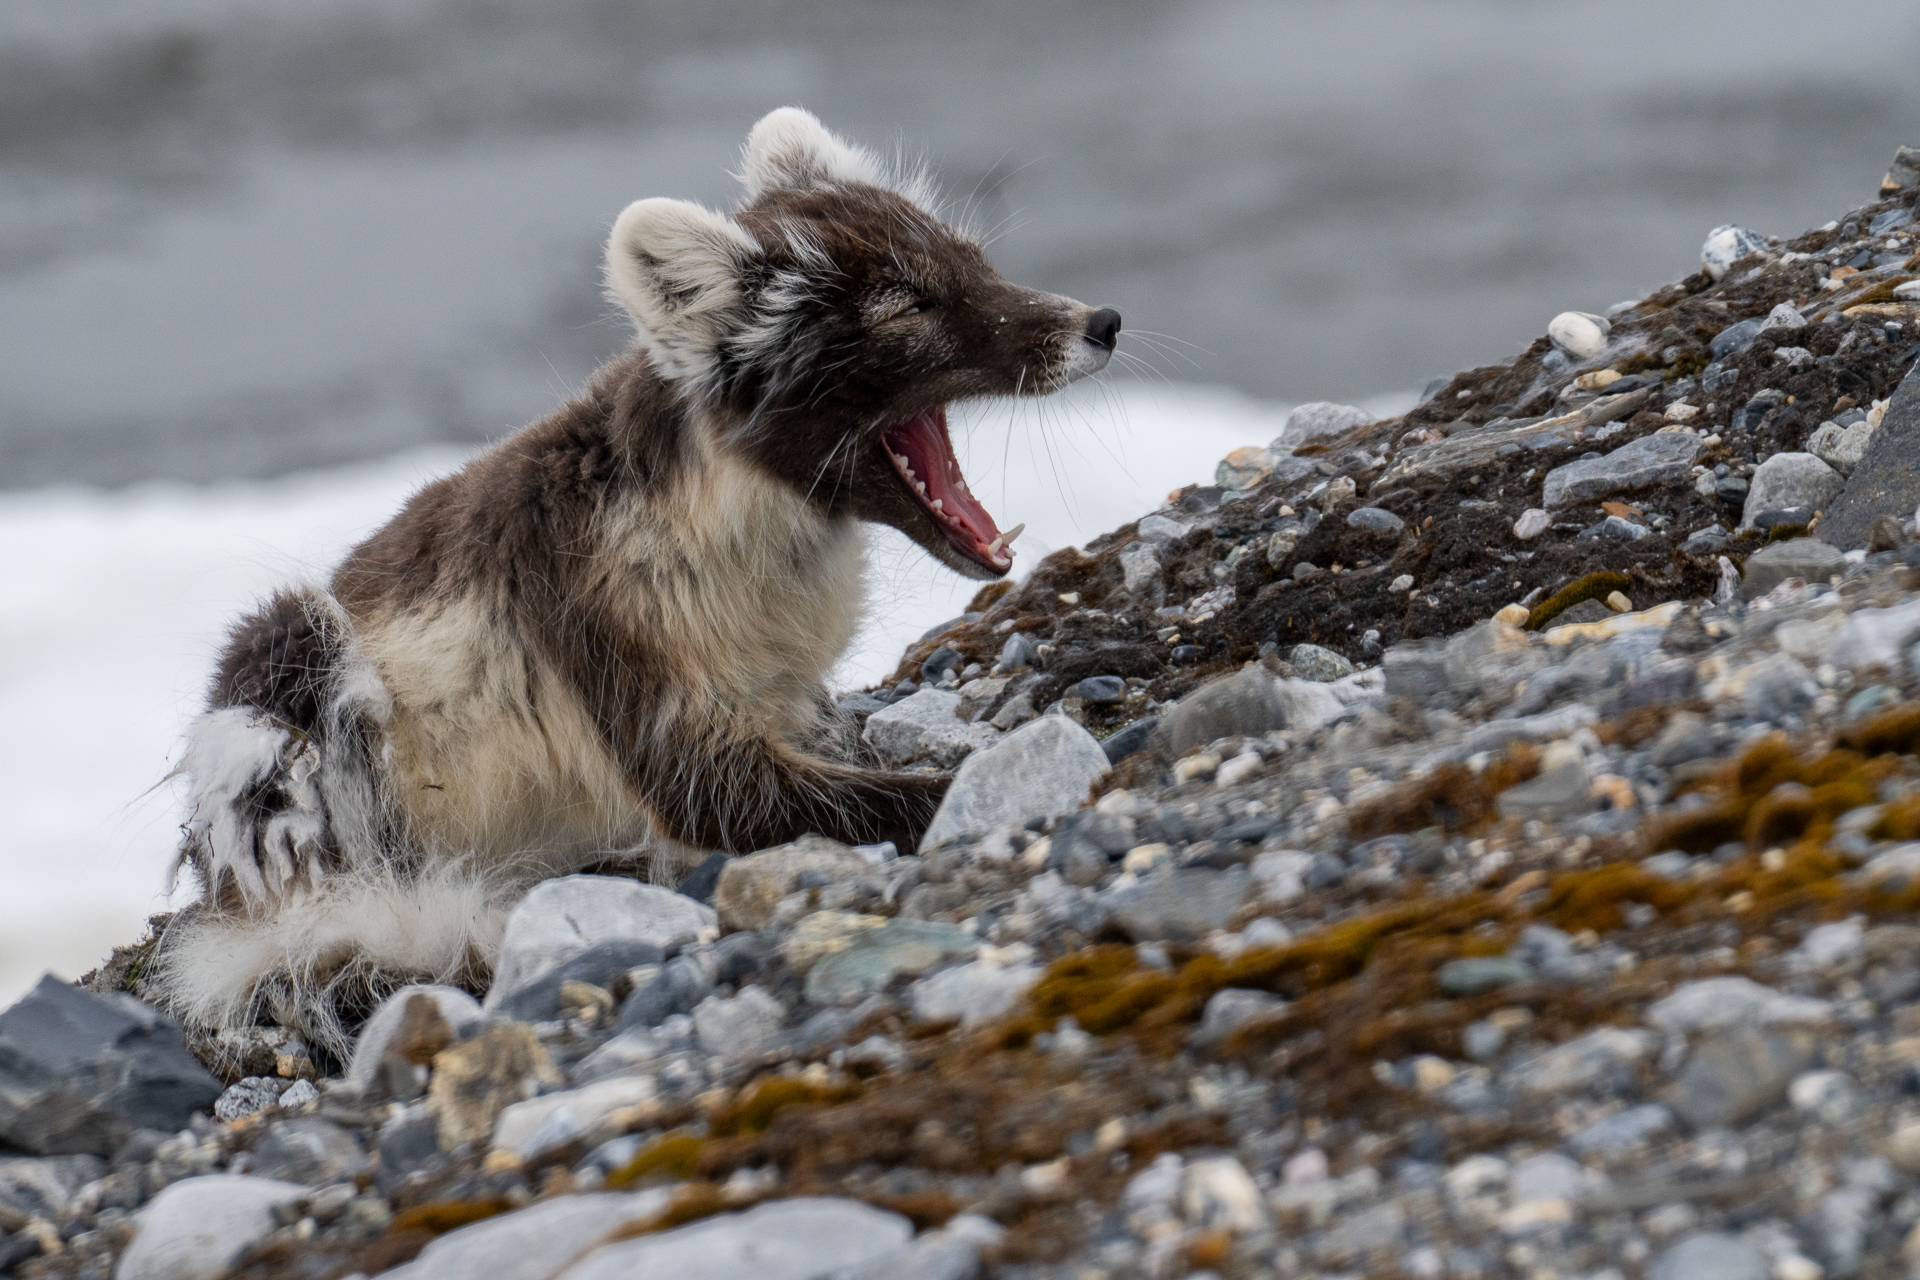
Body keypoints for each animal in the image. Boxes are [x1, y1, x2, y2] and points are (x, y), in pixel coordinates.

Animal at [148, 107, 1122, 1052]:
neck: (730, 523)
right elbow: (822, 800)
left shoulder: (786, 697)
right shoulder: (648, 697)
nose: (1103, 321)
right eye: (907, 305)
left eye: (973, 261)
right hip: (286, 659)